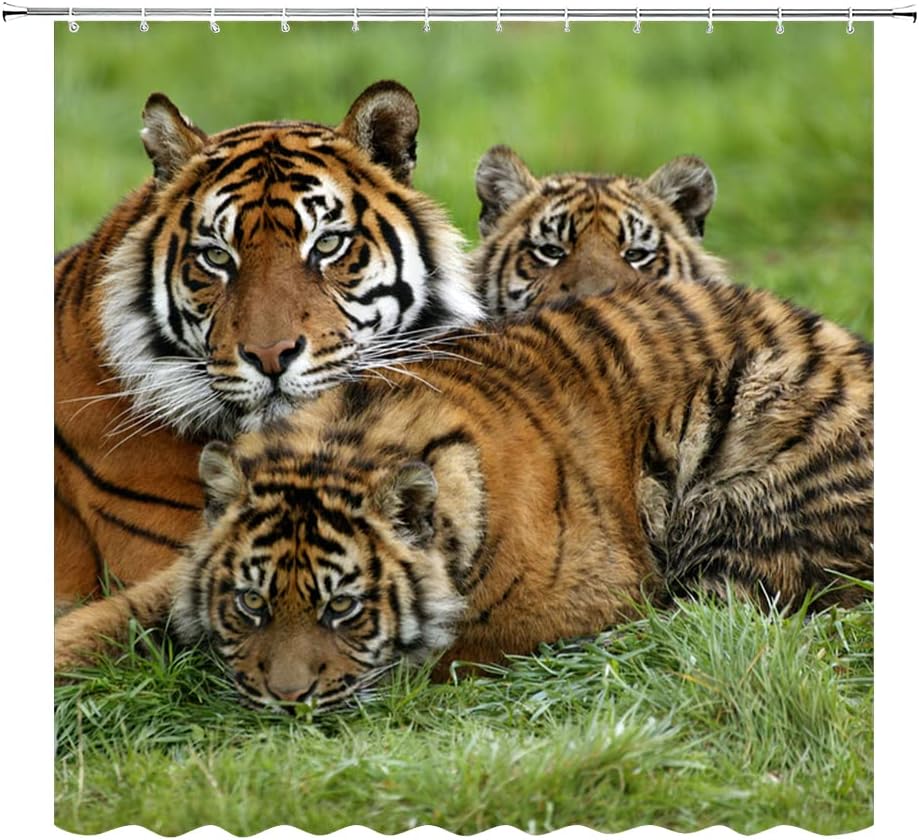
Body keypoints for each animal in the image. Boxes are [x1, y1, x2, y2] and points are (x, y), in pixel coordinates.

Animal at [55, 276, 873, 711]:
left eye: (343, 609)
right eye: (250, 603)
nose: (284, 701)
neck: (347, 439)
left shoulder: (571, 600)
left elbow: (427, 657)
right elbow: (114, 615)